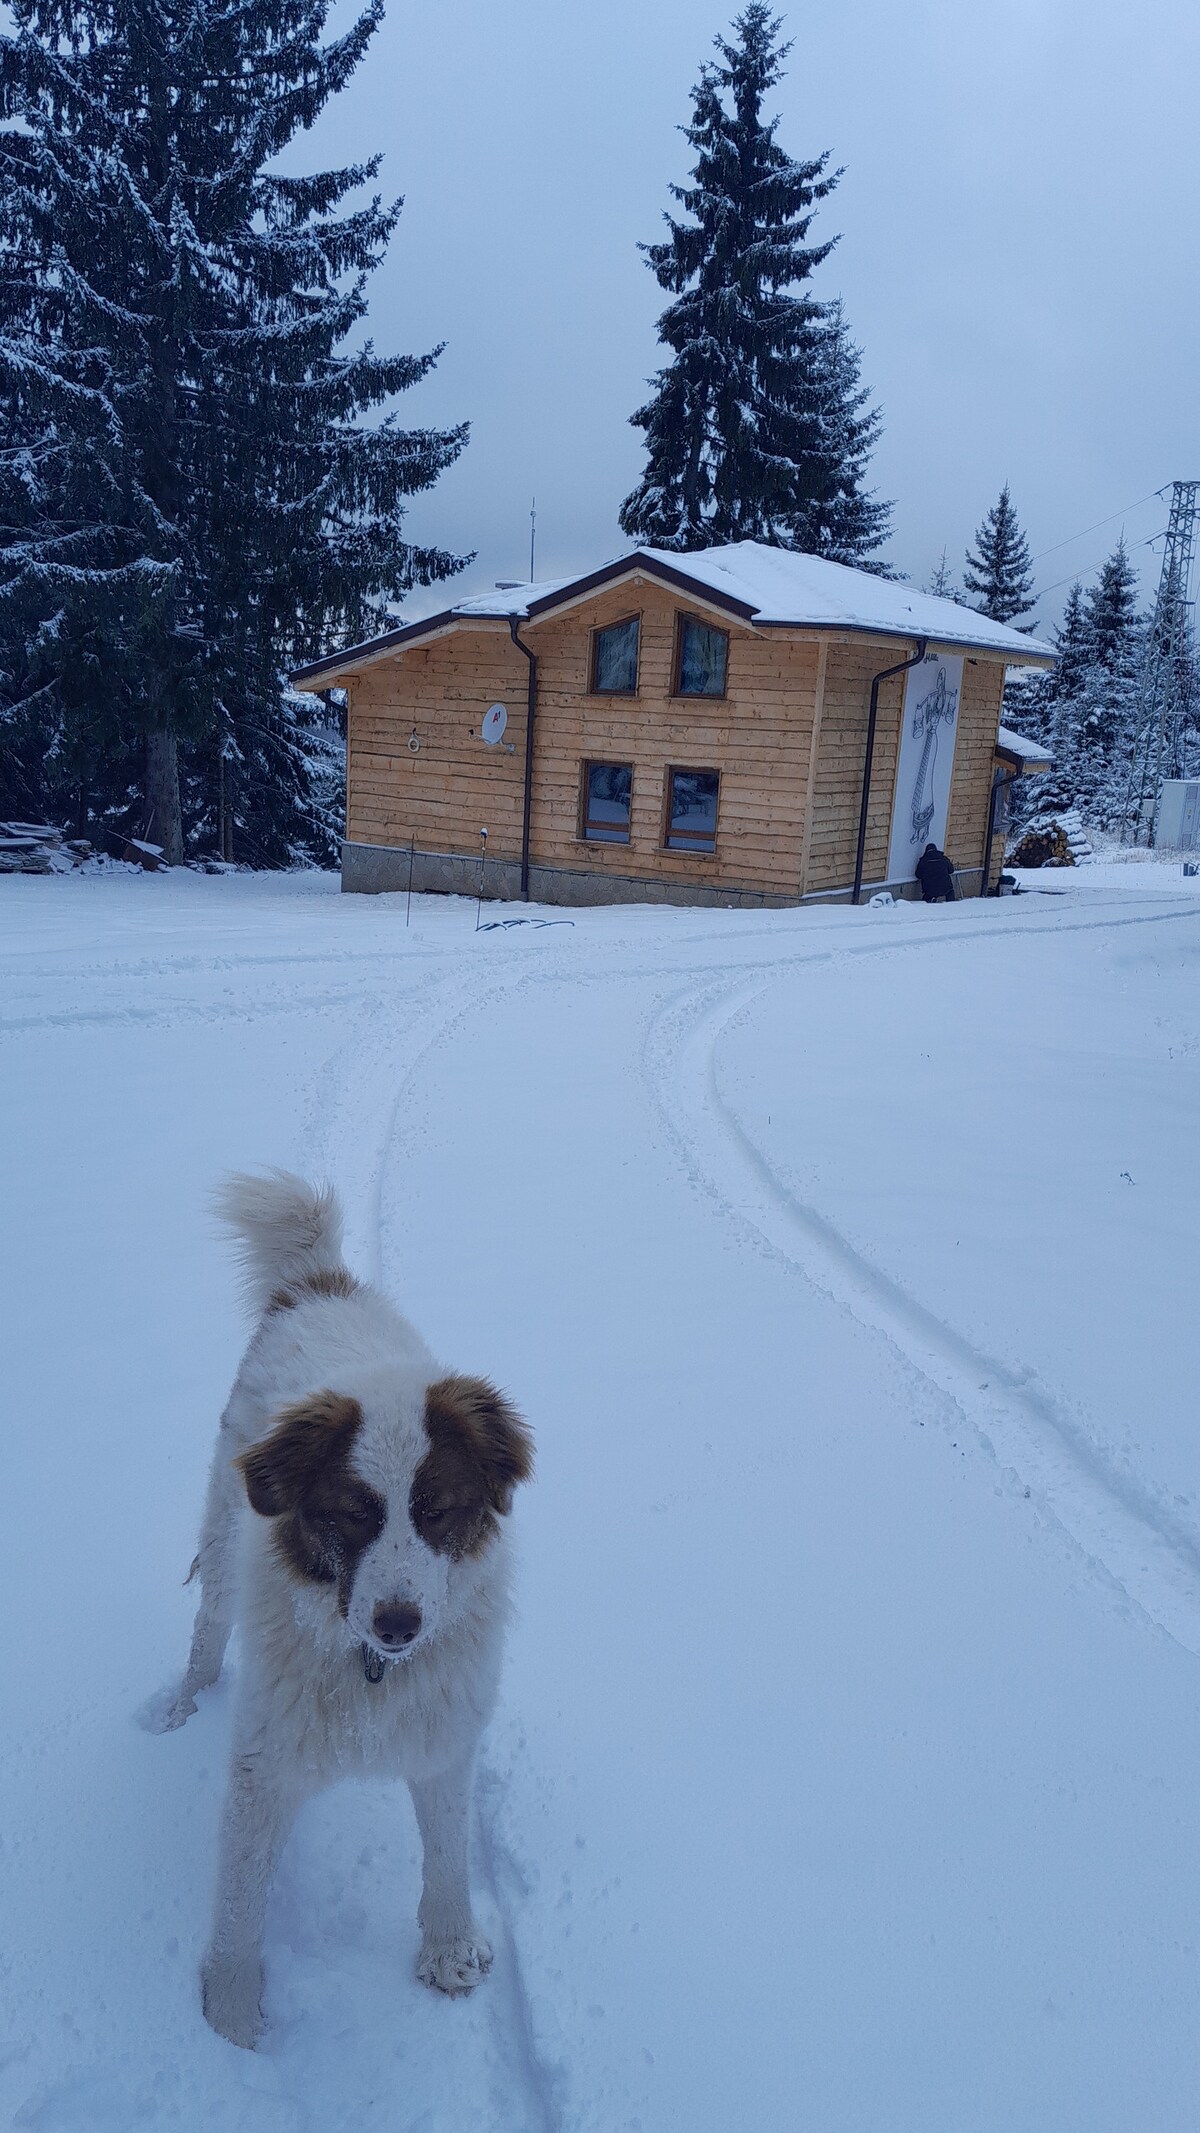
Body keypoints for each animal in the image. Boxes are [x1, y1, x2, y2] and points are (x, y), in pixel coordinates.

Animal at [146, 1170, 533, 2049]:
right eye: (353, 1514)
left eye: (437, 1510)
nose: (399, 1626)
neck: (370, 1672)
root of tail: (320, 1281)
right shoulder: (265, 1765)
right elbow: (240, 1905)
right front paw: (230, 2021)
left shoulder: (442, 1735)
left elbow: (447, 1854)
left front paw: (449, 1949)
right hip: (225, 1530)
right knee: (207, 1628)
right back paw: (180, 1708)